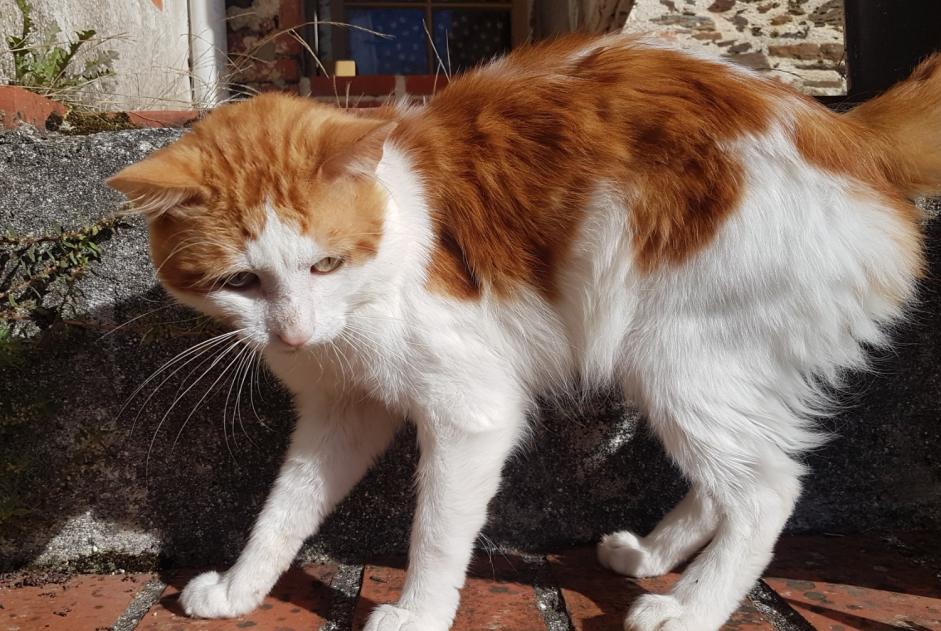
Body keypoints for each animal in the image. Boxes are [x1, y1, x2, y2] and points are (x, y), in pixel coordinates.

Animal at [106, 33, 936, 631]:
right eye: (241, 282)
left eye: (325, 263)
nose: (293, 334)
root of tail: (842, 129)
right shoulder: (341, 413)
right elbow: (282, 513)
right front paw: (239, 589)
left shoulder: (471, 412)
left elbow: (436, 530)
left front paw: (418, 612)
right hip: (703, 368)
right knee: (733, 477)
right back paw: (651, 553)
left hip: (677, 355)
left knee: (765, 488)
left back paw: (691, 608)